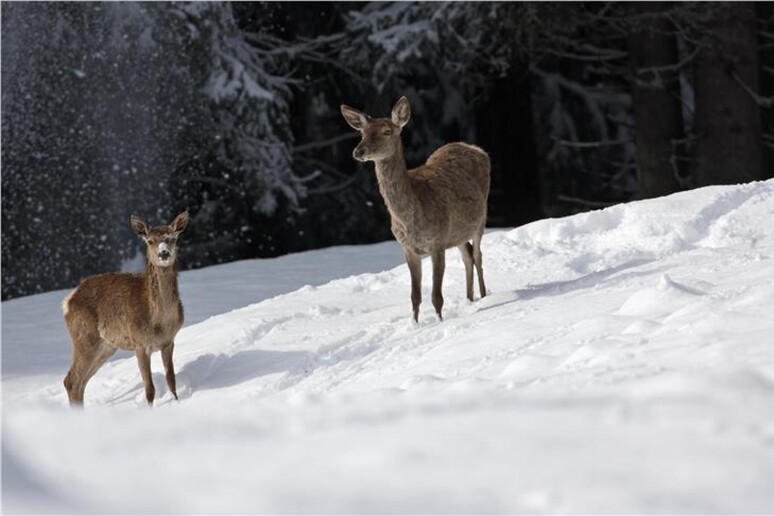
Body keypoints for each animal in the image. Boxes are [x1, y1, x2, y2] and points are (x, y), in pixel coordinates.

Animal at [62, 211, 189, 408]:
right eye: (150, 241)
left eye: (173, 238)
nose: (164, 253)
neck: (159, 322)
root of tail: (68, 301)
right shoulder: (139, 344)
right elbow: (149, 389)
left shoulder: (169, 342)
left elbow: (171, 380)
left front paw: (177, 402)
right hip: (84, 336)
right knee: (72, 380)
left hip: (106, 346)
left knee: (80, 382)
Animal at [342, 97, 492, 320]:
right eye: (363, 132)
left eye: (387, 131)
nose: (358, 151)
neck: (409, 218)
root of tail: (476, 149)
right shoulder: (408, 248)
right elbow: (415, 296)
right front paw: (415, 323)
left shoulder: (437, 242)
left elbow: (436, 296)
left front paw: (440, 321)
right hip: (457, 232)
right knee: (467, 255)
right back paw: (470, 299)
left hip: (481, 218)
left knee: (478, 255)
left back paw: (483, 297)